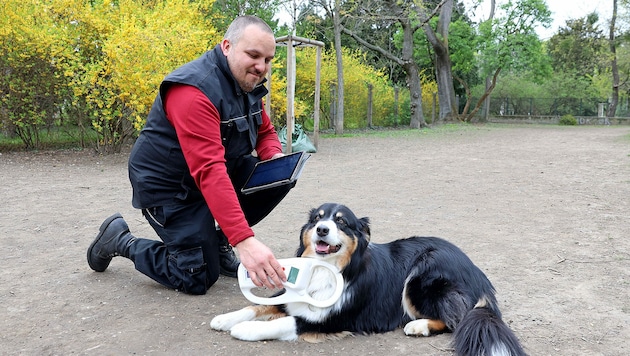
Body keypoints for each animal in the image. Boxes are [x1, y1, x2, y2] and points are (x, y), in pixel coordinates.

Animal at [212, 203, 528, 356]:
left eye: (341, 221)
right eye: (317, 219)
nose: (322, 229)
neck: (330, 268)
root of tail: (478, 273)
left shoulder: (333, 320)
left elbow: (283, 323)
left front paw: (244, 329)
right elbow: (258, 305)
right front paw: (226, 318)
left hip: (421, 275)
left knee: (456, 319)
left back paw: (418, 326)